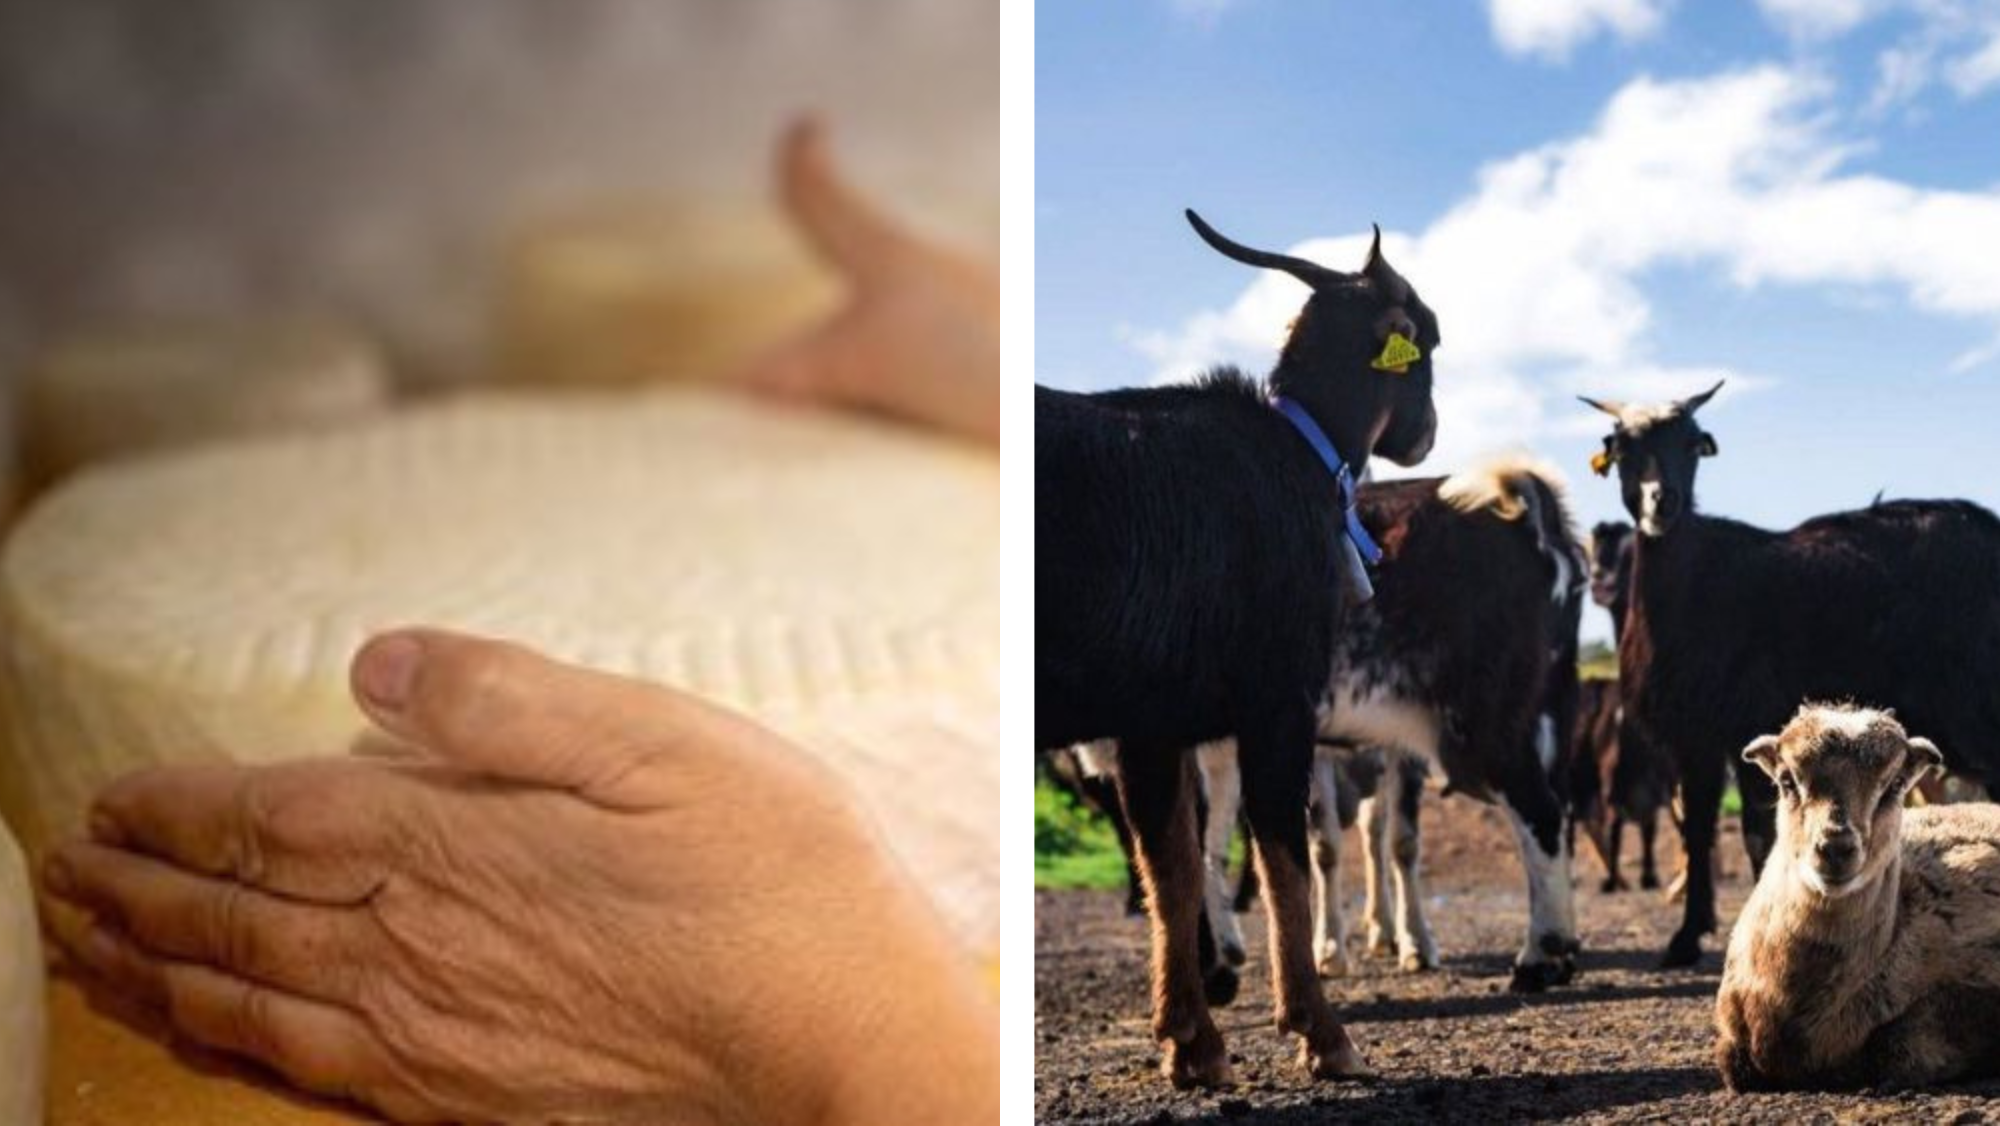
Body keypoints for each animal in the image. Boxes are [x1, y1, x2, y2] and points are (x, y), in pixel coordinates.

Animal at [1037, 211, 1440, 1086]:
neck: (1299, 448)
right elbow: (1278, 851)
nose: (1426, 436)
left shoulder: (1150, 723)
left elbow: (1172, 863)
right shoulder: (1277, 700)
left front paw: (1190, 1039)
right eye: (1427, 339)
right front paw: (1322, 1034)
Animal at [1583, 383, 2000, 967]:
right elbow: (1702, 829)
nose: (1661, 501)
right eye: (1621, 447)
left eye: (1692, 444)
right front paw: (1689, 935)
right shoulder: (1698, 736)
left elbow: (1757, 833)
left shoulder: (1742, 717)